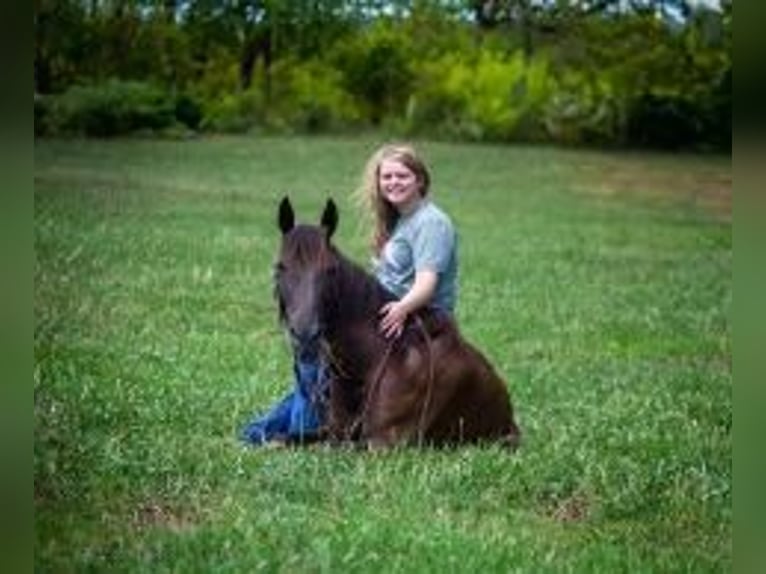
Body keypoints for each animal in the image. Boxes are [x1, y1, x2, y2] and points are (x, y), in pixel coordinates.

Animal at [272, 198, 520, 450]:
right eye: (279, 267)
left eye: (330, 270)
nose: (305, 335)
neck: (377, 359)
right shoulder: (335, 432)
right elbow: (279, 439)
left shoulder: (381, 443)